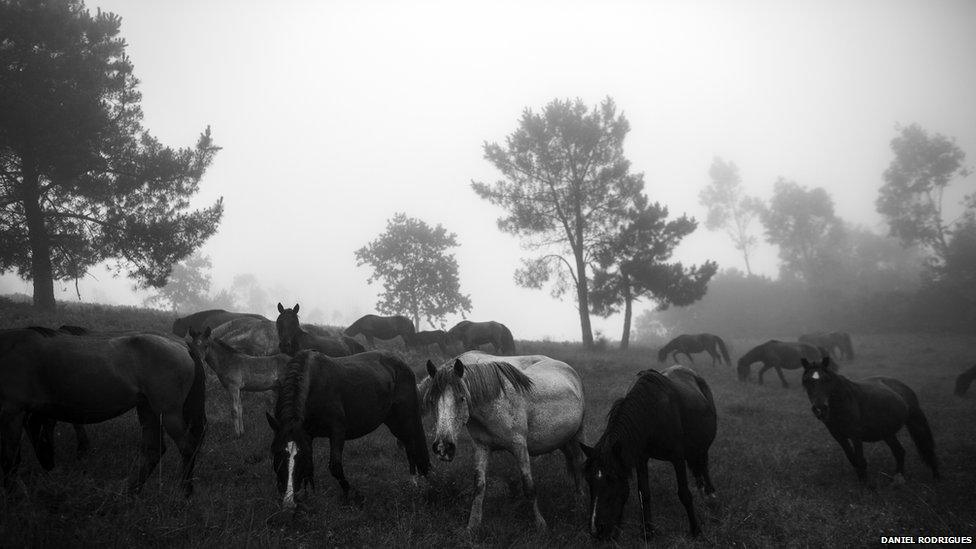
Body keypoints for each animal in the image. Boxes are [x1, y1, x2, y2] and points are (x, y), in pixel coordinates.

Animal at [0, 324, 206, 494]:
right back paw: (131, 491)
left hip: (168, 413)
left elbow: (10, 458)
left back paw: (184, 493)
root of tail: (183, 345)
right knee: (153, 451)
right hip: (149, 410)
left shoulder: (12, 412)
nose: (49, 464)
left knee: (187, 447)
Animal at [264, 348, 428, 508]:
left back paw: (419, 482)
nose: (288, 502)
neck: (314, 385)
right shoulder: (307, 434)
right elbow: (310, 467)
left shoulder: (337, 431)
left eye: (300, 457)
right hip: (393, 421)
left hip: (406, 418)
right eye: (276, 453)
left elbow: (335, 466)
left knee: (413, 443)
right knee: (409, 445)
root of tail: (403, 363)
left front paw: (354, 496)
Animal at [424, 352, 584, 532]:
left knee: (578, 462)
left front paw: (540, 524)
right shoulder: (482, 447)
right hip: (563, 439)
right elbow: (479, 487)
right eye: (431, 401)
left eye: (462, 399)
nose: (443, 447)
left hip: (577, 434)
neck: (494, 403)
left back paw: (580, 499)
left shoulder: (519, 447)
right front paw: (473, 525)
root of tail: (568, 368)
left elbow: (529, 487)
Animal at [580, 364, 716, 540]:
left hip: (702, 446)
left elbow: (684, 494)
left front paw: (696, 530)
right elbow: (643, 493)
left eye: (613, 479)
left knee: (703, 466)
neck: (653, 414)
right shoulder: (641, 458)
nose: (596, 530)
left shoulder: (677, 458)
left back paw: (710, 496)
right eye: (588, 480)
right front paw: (648, 532)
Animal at [800, 356, 936, 480]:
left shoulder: (855, 435)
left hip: (915, 422)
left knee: (927, 449)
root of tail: (900, 385)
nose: (820, 409)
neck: (842, 403)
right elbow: (853, 460)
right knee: (899, 452)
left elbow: (860, 461)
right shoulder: (838, 436)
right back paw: (898, 479)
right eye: (806, 381)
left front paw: (867, 488)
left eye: (827, 380)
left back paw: (936, 478)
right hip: (887, 432)